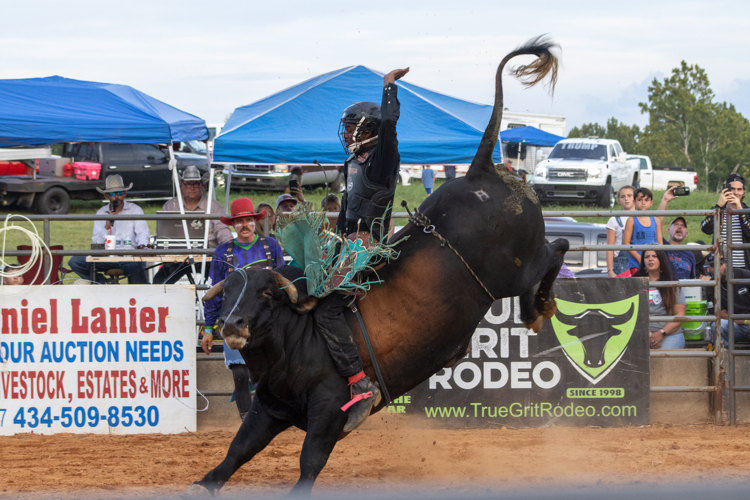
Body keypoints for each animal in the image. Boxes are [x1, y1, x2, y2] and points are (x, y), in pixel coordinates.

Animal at [189, 36, 568, 496]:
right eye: (225, 292)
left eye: (266, 292)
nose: (231, 325)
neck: (296, 336)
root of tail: (480, 172)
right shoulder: (268, 409)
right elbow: (233, 455)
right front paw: (204, 482)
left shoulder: (328, 412)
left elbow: (309, 463)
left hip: (516, 269)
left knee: (557, 249)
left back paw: (538, 307)